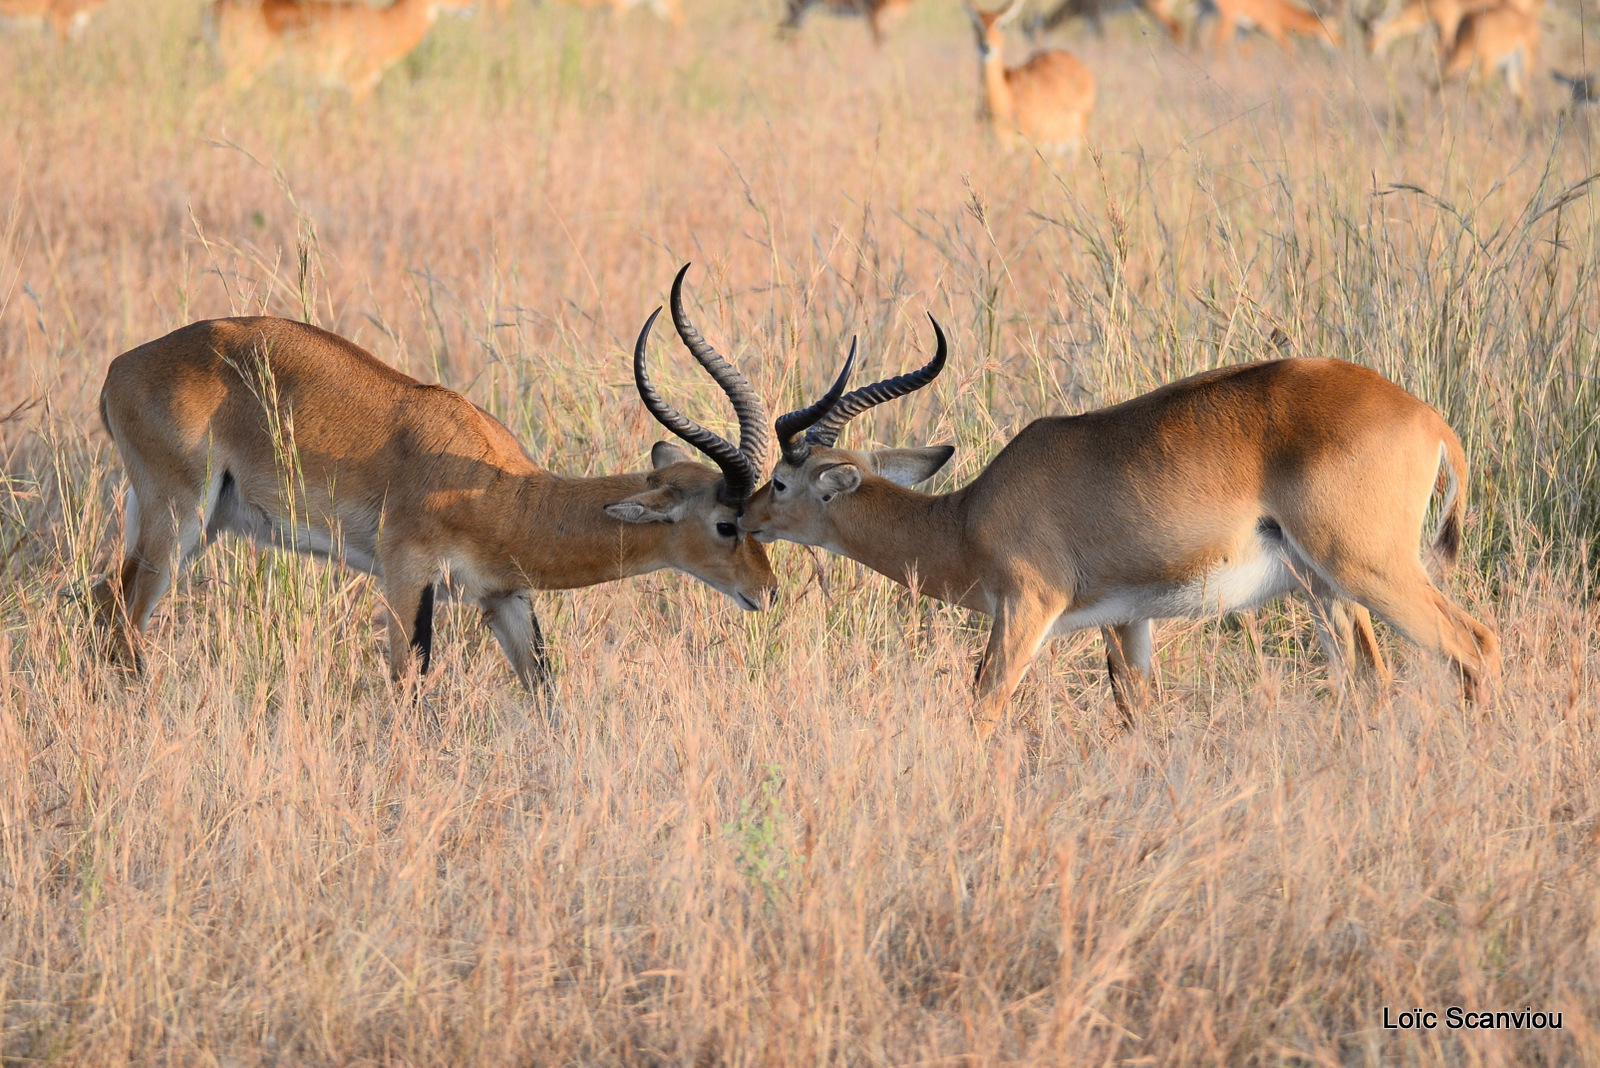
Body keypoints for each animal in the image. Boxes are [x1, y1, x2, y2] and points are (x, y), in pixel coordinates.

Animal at [90, 267, 777, 693]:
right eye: (726, 523)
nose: (768, 593)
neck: (506, 494)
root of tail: (121, 365)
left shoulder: (504, 597)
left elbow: (545, 691)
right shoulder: (405, 576)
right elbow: (408, 688)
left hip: (198, 525)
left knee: (106, 603)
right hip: (177, 517)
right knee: (123, 618)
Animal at [742, 329, 1504, 738]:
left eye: (780, 481)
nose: (739, 516)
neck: (963, 520)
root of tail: (1429, 419)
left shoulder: (1026, 609)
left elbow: (984, 705)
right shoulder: (1128, 621)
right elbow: (1139, 715)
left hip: (1369, 570)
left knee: (1475, 644)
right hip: (1326, 589)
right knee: (1372, 679)